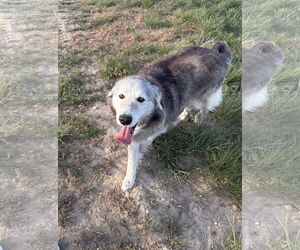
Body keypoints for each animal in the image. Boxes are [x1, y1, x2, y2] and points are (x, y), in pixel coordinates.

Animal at [108, 42, 232, 190]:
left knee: (207, 106)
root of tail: (217, 54)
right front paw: (129, 178)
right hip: (188, 95)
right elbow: (132, 155)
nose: (124, 119)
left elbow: (139, 149)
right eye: (121, 96)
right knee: (187, 107)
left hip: (200, 97)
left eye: (141, 99)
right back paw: (177, 119)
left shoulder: (147, 132)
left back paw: (199, 117)